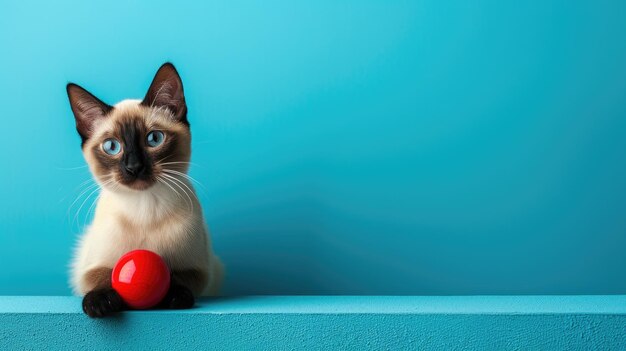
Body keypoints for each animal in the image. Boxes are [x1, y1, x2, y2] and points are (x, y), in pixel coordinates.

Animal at [65, 63, 222, 320]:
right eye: (112, 147)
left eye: (154, 139)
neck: (145, 206)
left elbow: (176, 278)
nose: (134, 167)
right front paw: (100, 303)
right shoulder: (89, 268)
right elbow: (102, 277)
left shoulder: (199, 269)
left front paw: (172, 296)